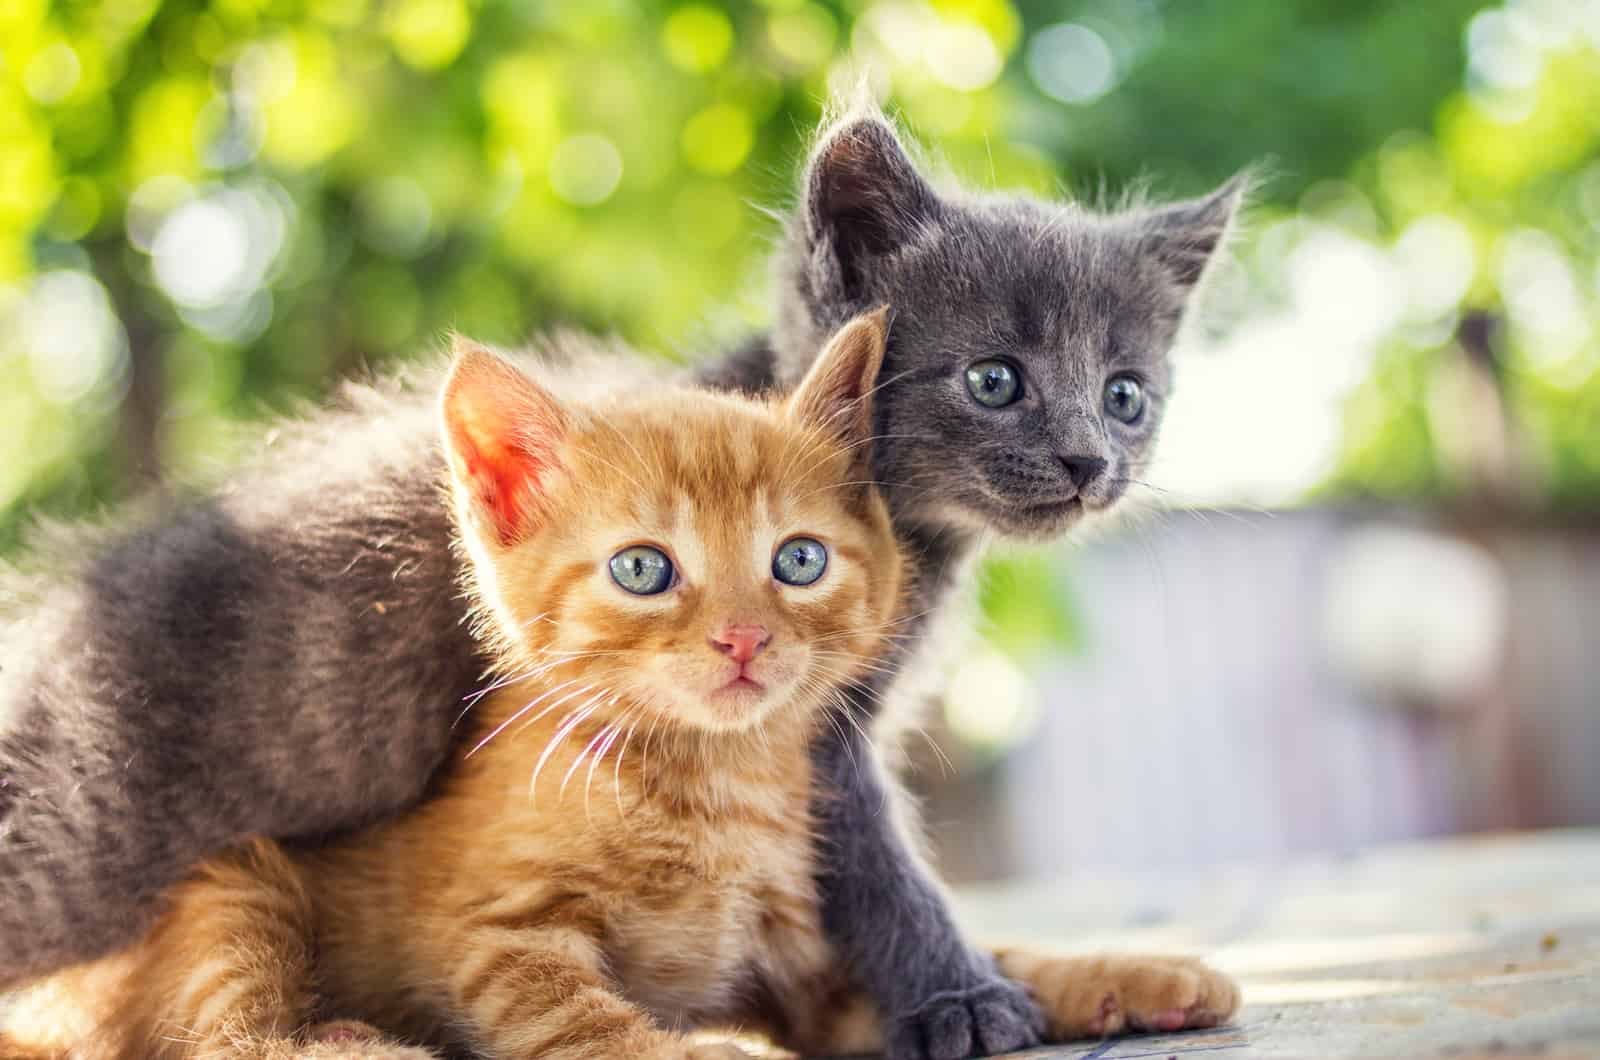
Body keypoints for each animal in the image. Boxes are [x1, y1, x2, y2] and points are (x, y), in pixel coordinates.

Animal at [0, 101, 1235, 1060]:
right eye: (994, 379)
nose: (1089, 462)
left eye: (1126, 394)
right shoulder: (823, 744)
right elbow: (882, 871)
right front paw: (964, 998)